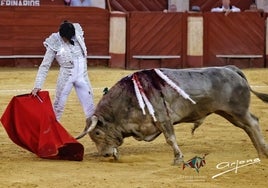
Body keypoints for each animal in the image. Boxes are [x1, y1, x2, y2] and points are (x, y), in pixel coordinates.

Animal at [76, 66, 268, 164]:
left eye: (97, 133)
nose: (105, 155)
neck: (128, 98)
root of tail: (232, 69)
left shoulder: (163, 119)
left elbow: (170, 139)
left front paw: (178, 159)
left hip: (237, 110)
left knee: (253, 123)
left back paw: (263, 151)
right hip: (228, 113)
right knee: (248, 127)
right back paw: (261, 152)